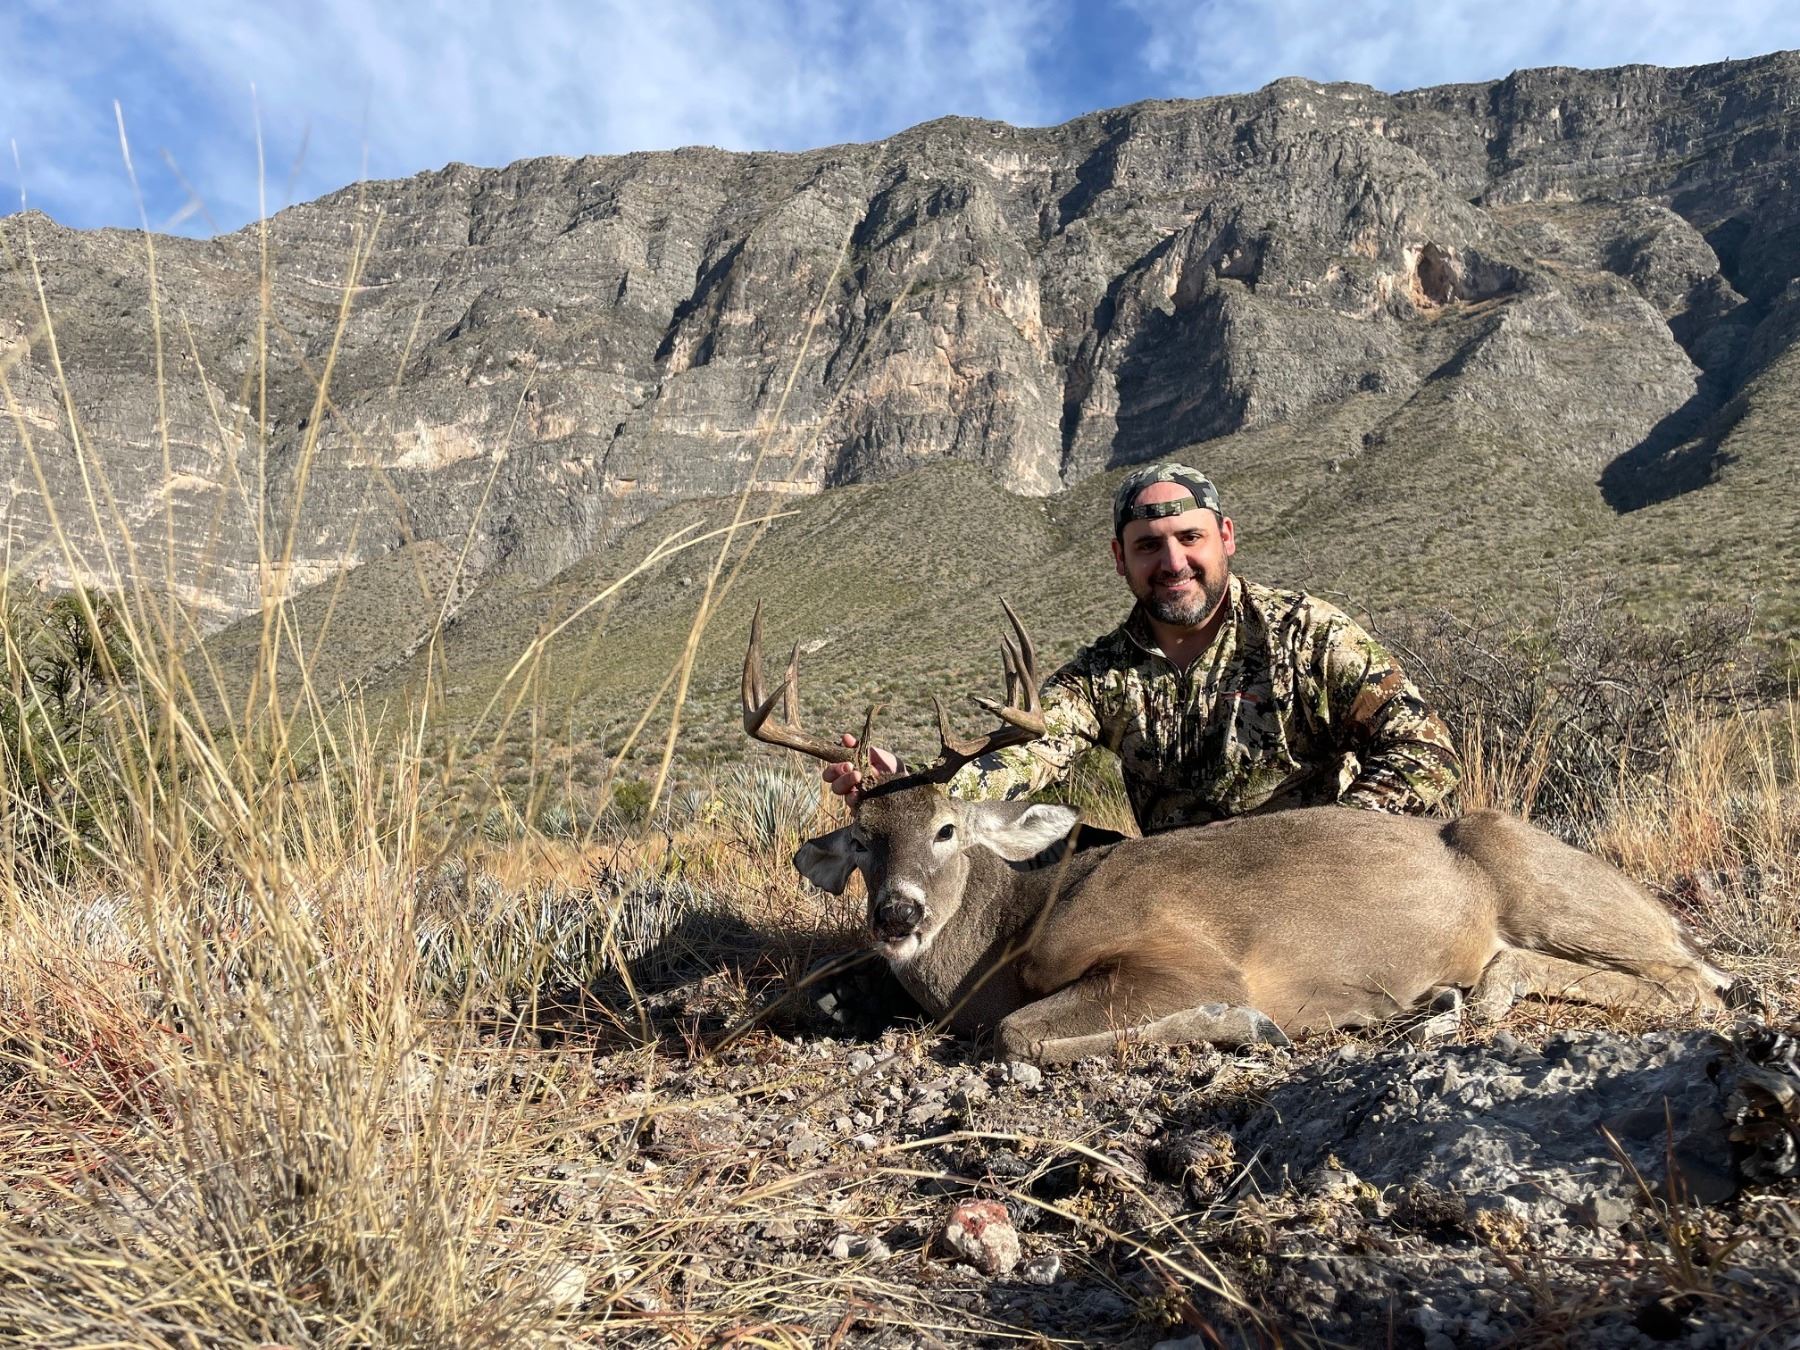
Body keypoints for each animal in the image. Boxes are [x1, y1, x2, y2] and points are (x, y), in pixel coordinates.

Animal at [741, 602, 1739, 1064]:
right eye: (861, 840)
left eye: (948, 828)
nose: (897, 915)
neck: (1007, 942)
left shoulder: (1172, 952)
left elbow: (1021, 1034)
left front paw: (1244, 1022)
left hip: (1545, 883)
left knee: (1692, 984)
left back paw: (1455, 999)